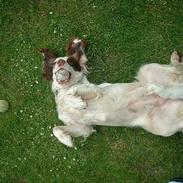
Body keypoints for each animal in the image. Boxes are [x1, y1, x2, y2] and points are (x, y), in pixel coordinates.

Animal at [40, 38, 183, 147]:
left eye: (70, 61)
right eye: (54, 63)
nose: (60, 62)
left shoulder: (94, 89)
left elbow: (72, 91)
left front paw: (76, 102)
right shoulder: (82, 127)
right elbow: (56, 129)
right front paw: (67, 140)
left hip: (146, 70)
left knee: (178, 79)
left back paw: (172, 65)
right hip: (163, 127)